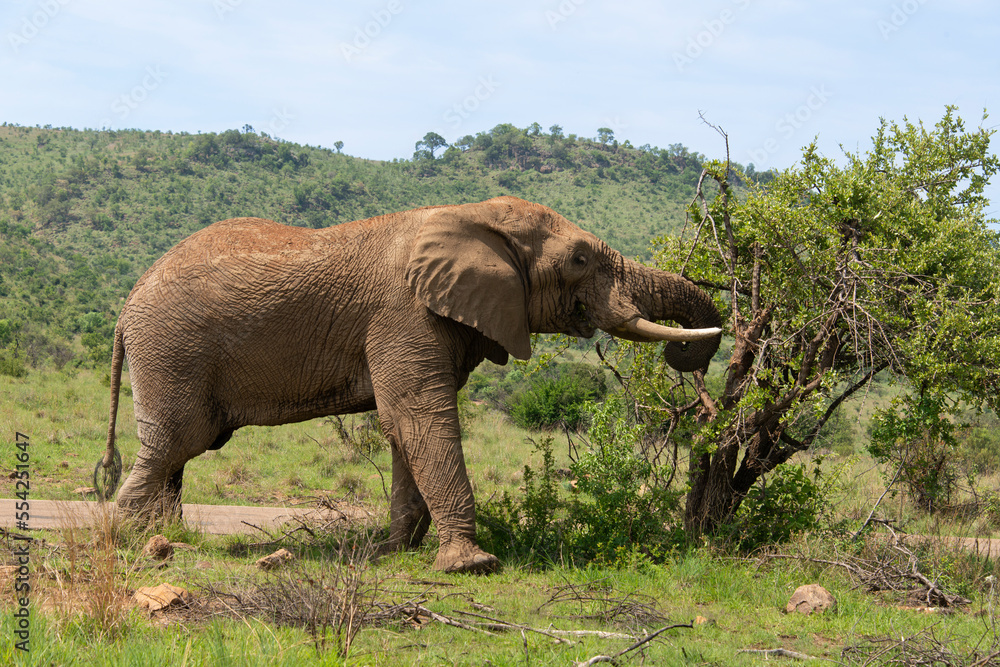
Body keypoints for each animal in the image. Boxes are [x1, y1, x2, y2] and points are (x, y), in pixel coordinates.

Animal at [96, 196, 722, 573]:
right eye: (581, 259)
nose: (683, 352)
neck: (473, 215)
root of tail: (126, 306)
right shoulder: (403, 314)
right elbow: (421, 417)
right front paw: (471, 565)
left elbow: (402, 427)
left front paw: (392, 551)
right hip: (173, 349)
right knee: (177, 442)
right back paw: (128, 540)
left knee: (177, 452)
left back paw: (163, 537)